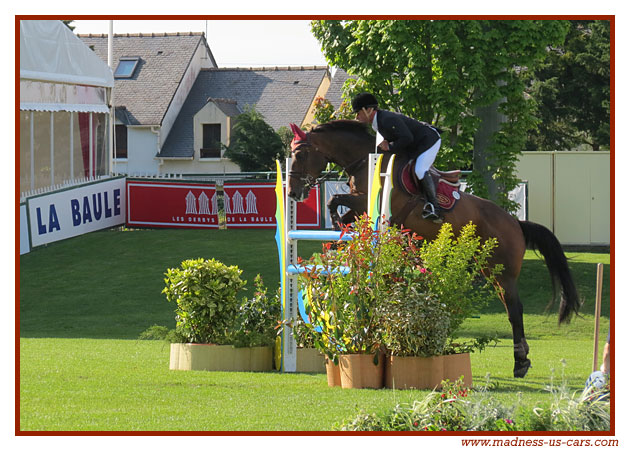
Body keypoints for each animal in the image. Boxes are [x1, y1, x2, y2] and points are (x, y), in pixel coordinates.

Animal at [288, 119, 584, 378]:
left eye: (300, 154)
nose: (292, 193)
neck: (363, 161)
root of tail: (515, 223)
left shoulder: (370, 201)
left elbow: (334, 200)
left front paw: (338, 226)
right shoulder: (362, 206)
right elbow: (341, 208)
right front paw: (339, 237)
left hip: (502, 273)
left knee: (514, 310)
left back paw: (520, 362)